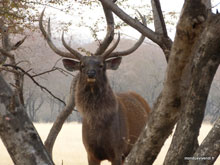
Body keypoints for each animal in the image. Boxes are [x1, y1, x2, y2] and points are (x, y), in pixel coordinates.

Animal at [39, 7, 150, 164]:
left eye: (101, 65)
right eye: (82, 65)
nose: (91, 73)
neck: (97, 125)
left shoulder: (118, 150)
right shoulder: (90, 152)